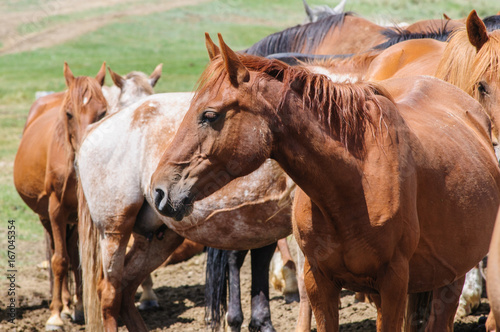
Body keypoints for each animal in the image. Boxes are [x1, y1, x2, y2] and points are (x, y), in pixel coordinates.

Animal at [12, 62, 106, 330]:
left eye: (102, 113)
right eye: (69, 114)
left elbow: (78, 261)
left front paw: (80, 308)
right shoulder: (56, 211)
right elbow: (58, 260)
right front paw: (54, 315)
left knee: (72, 255)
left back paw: (72, 305)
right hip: (46, 216)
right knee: (58, 252)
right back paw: (62, 306)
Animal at [150, 34, 500, 332]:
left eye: (209, 115)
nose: (158, 190)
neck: (352, 189)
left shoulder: (393, 283)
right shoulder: (319, 281)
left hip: (450, 279)